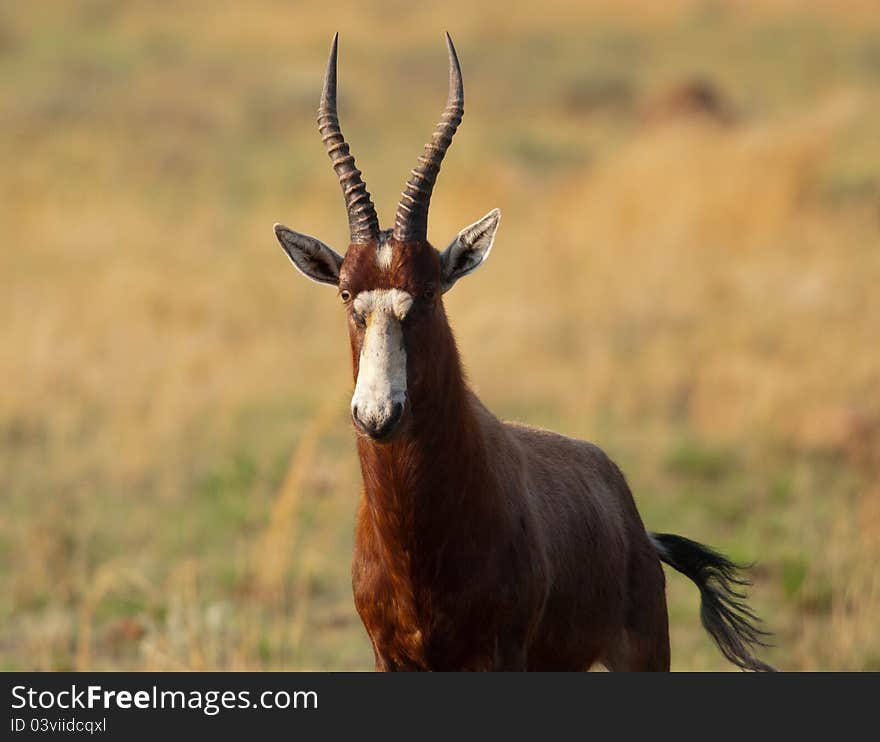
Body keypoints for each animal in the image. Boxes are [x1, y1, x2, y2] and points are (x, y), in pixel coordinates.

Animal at [272, 33, 772, 676]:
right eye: (344, 293)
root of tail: (633, 521)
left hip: (639, 654)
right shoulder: (390, 658)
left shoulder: (502, 655)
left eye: (429, 290)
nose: (378, 415)